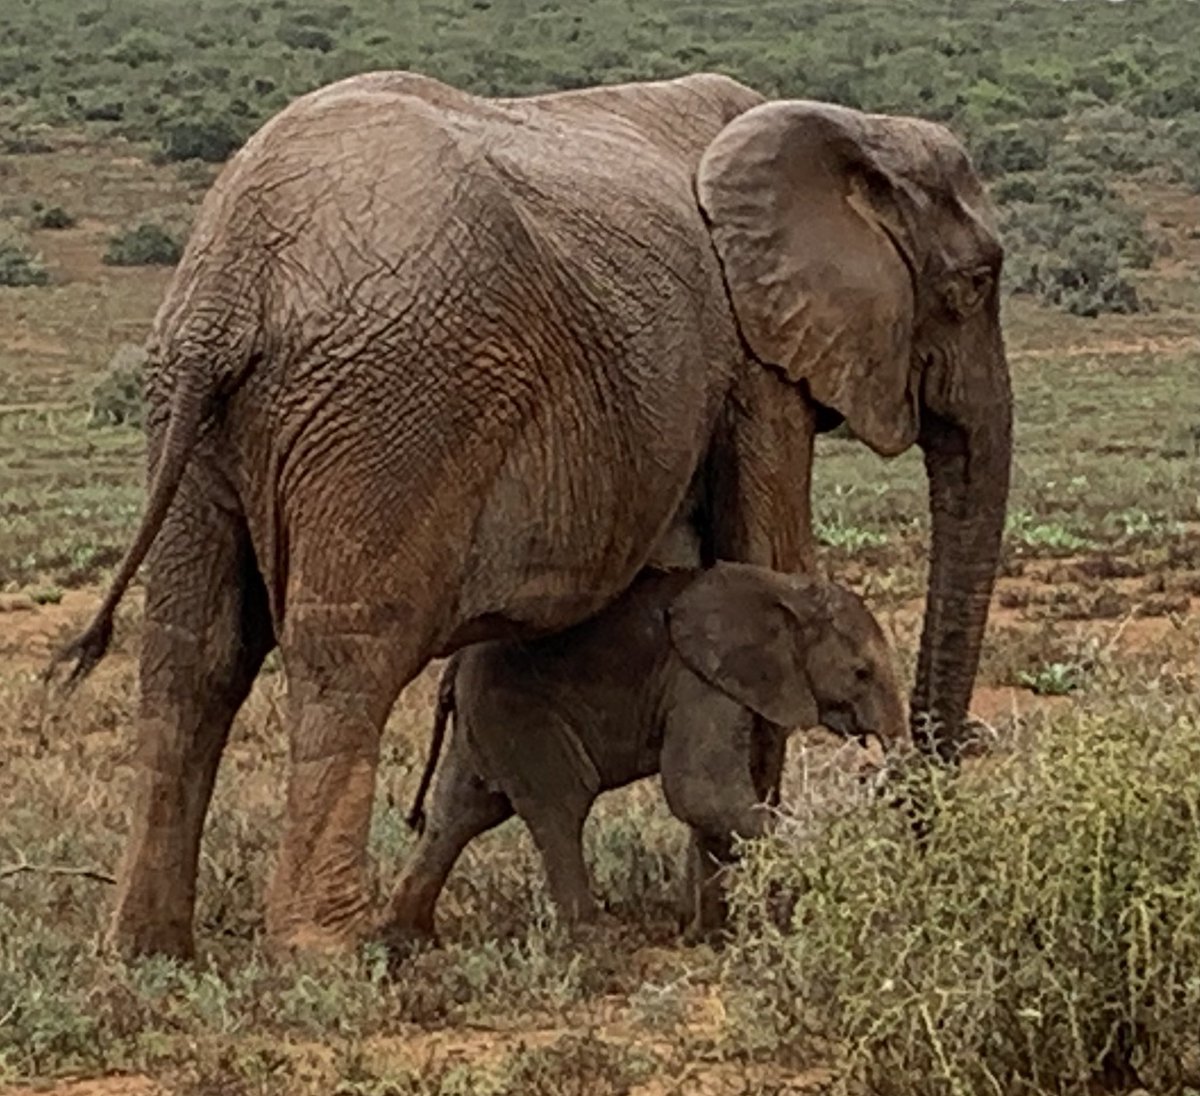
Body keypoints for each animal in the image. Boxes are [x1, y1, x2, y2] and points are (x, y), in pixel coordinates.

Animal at [388, 562, 908, 946]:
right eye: (861, 673)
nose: (873, 768)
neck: (787, 590)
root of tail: (455, 663)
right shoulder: (699, 681)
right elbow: (698, 791)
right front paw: (822, 860)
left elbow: (707, 804)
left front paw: (707, 938)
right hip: (520, 713)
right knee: (560, 806)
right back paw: (593, 940)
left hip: (484, 724)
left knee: (457, 814)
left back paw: (408, 937)